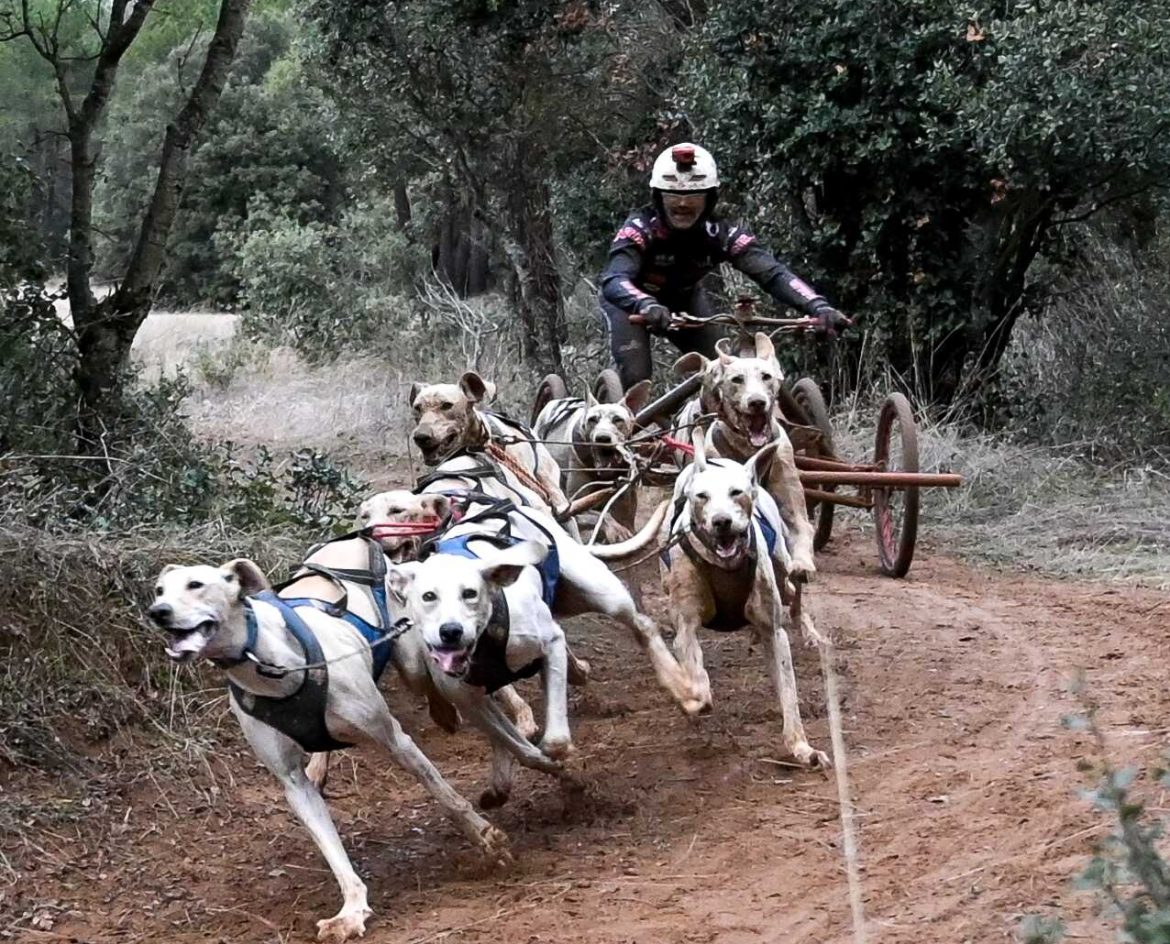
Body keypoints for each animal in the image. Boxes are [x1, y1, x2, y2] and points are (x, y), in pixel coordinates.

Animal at [147, 551, 508, 943]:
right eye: (159, 590)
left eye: (195, 584)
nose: (157, 612)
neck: (273, 667)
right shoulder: (292, 783)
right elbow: (331, 849)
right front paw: (351, 909)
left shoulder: (395, 741)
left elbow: (445, 795)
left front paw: (485, 837)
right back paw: (321, 764)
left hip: (412, 657)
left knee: (427, 681)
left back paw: (449, 712)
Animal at [532, 380, 652, 542]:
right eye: (592, 419)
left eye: (618, 419)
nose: (602, 438)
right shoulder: (575, 506)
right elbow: (600, 516)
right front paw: (615, 529)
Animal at [590, 428, 830, 768]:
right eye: (702, 496)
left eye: (736, 492)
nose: (721, 521)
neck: (724, 567)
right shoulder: (686, 627)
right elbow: (695, 673)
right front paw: (694, 699)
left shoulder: (774, 632)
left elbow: (789, 692)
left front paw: (801, 747)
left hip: (783, 568)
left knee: (794, 590)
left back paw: (807, 629)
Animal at [674, 332, 816, 578]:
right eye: (736, 379)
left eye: (766, 376)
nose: (757, 402)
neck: (750, 450)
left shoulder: (791, 498)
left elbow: (801, 527)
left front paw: (802, 564)